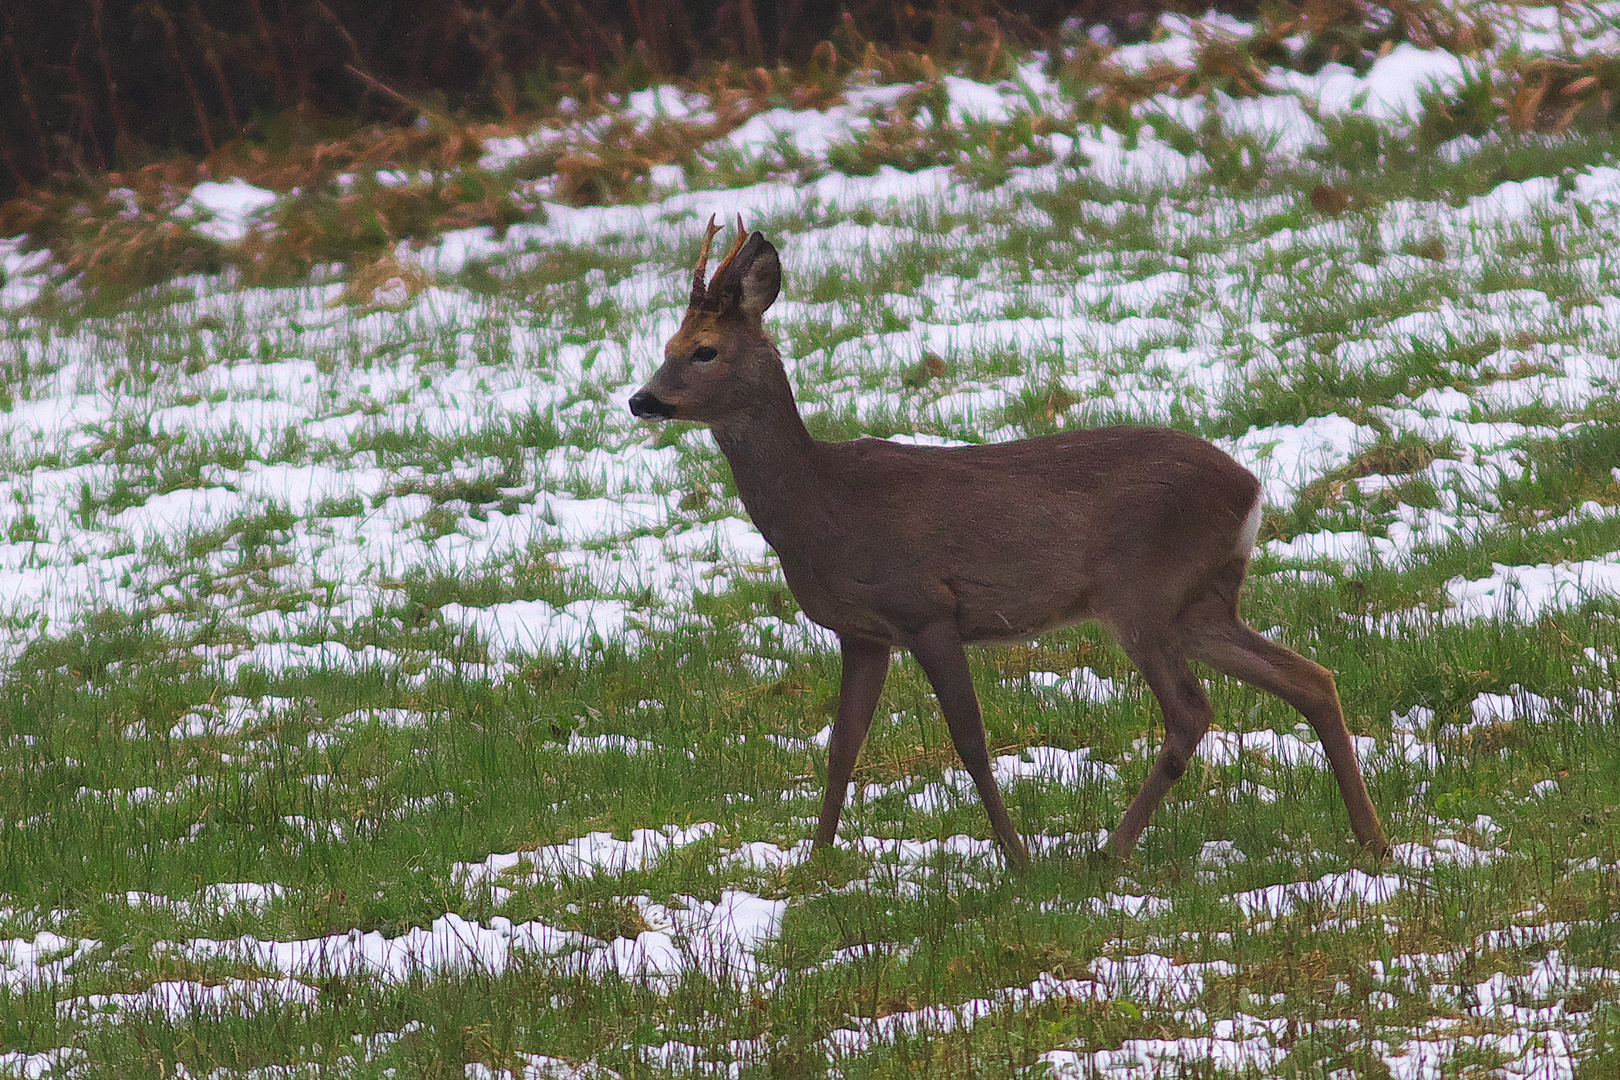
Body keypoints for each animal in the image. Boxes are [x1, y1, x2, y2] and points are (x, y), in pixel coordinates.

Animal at [625, 220, 1386, 867]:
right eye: (664, 348)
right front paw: (815, 862)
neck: (820, 506)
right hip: (1196, 601)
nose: (641, 400)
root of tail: (1253, 489)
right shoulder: (863, 631)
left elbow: (969, 740)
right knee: (1309, 678)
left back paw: (1109, 853)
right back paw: (1371, 839)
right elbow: (843, 746)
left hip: (1142, 590)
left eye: (703, 350)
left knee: (1191, 712)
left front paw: (1016, 858)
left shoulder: (926, 608)